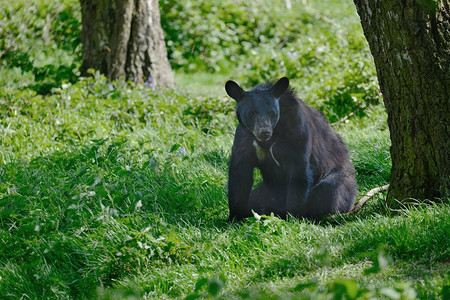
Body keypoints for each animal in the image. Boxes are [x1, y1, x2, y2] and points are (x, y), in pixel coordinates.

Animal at [227, 77, 356, 223]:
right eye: (252, 113)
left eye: (272, 112)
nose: (264, 132)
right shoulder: (244, 138)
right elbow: (240, 174)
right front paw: (235, 217)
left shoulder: (298, 132)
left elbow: (299, 172)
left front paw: (290, 215)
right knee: (256, 197)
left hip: (341, 178)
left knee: (330, 190)